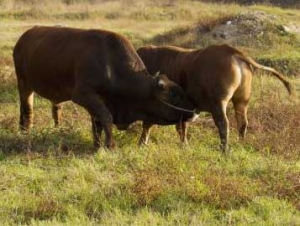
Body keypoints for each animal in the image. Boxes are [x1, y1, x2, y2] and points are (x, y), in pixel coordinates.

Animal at [14, 26, 196, 149]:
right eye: (174, 95)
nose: (194, 112)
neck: (111, 65)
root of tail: (23, 38)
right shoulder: (83, 95)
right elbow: (105, 118)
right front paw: (110, 145)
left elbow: (97, 124)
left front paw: (97, 146)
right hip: (24, 85)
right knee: (27, 110)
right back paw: (25, 133)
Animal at [138, 44, 292, 153]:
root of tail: (231, 51)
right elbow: (181, 126)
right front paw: (184, 144)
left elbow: (148, 125)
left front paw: (142, 143)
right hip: (241, 101)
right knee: (242, 123)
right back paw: (240, 144)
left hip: (218, 103)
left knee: (223, 124)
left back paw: (224, 149)